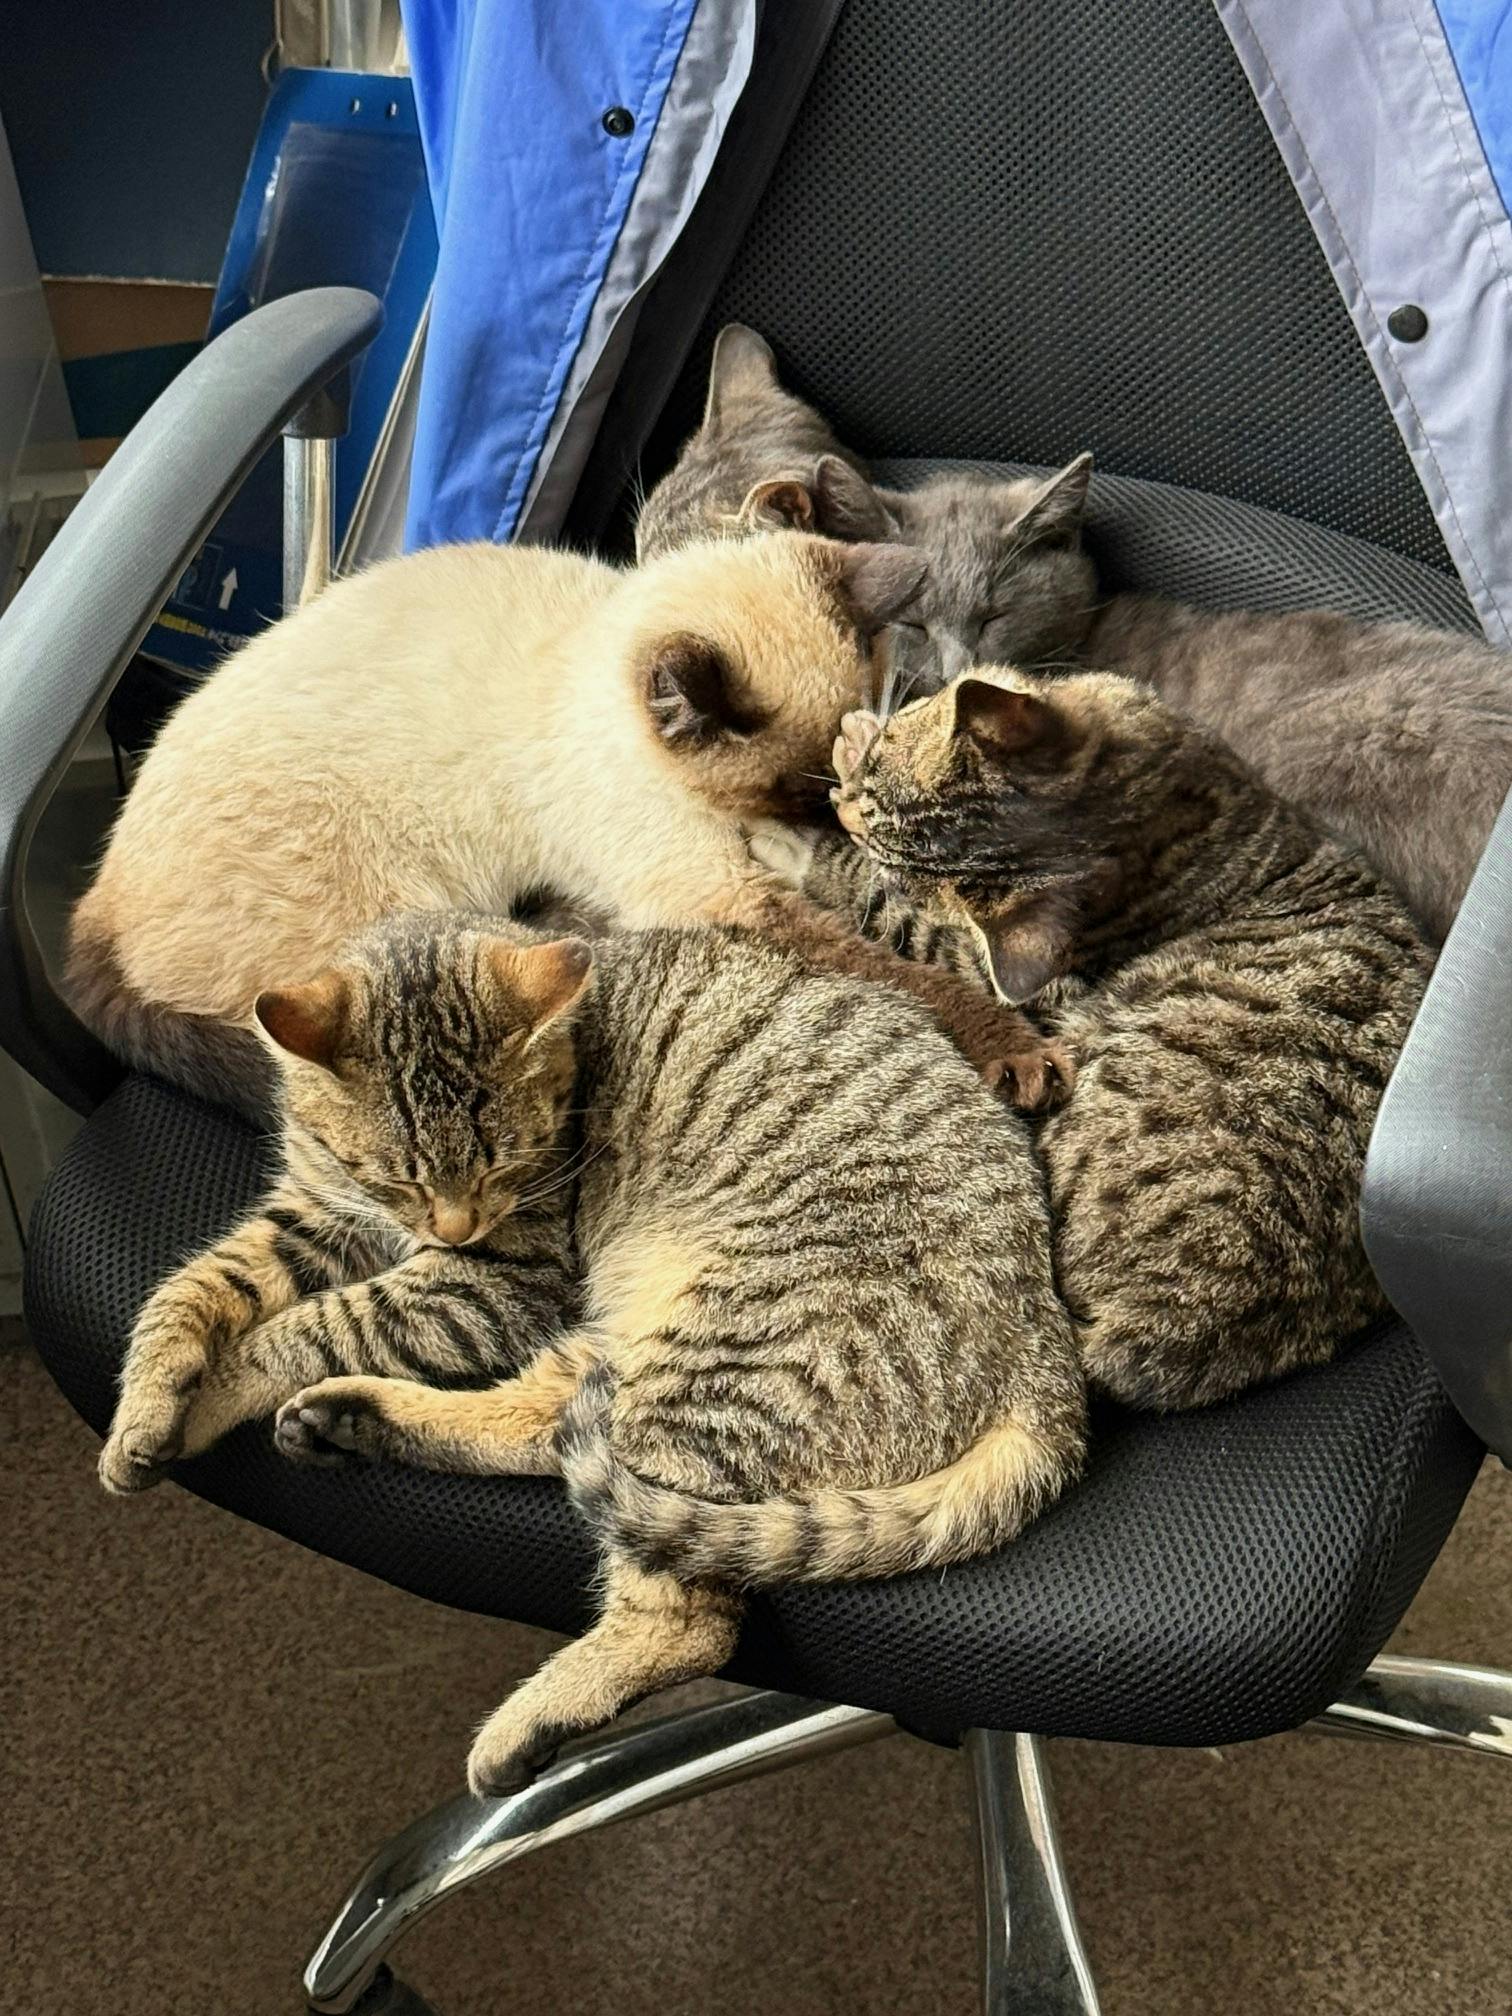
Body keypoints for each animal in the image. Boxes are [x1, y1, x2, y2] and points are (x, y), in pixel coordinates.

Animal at [69, 530, 1070, 1120]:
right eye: (786, 785)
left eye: (821, 783)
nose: (822, 824)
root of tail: (91, 903)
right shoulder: (717, 892)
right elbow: (901, 975)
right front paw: (1017, 1049)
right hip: (411, 906)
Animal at [101, 909, 1087, 1795]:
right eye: (397, 1177)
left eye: (503, 1165)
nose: (453, 1227)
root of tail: (1045, 1346)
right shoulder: (312, 1216)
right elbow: (192, 1288)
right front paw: (148, 1410)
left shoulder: (501, 1283)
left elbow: (310, 1325)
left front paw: (214, 1389)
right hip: (631, 1340)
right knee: (554, 1433)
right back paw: (353, 1418)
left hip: (711, 1361)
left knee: (686, 1610)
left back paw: (530, 1724)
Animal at [754, 668, 1432, 1410]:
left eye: (883, 765)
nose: (842, 808)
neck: (1153, 824)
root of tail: (1175, 1323)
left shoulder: (1001, 976)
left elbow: (890, 915)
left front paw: (801, 835)